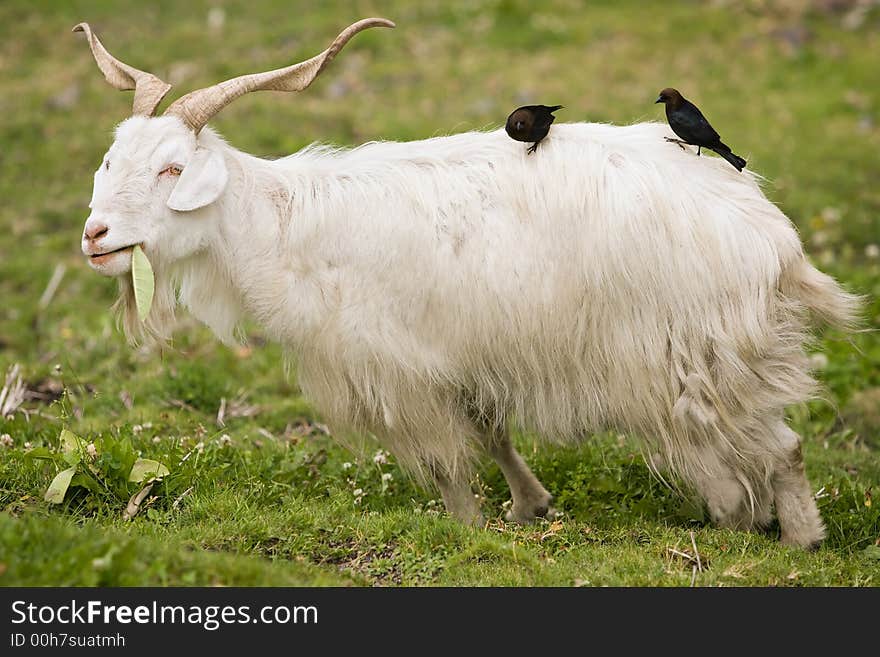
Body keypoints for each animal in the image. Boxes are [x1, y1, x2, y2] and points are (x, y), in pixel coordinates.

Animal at [75, 18, 860, 544]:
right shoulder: (456, 355)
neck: (283, 225)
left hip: (696, 352)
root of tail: (773, 235)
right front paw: (529, 505)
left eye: (173, 167)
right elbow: (490, 432)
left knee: (780, 445)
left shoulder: (399, 368)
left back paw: (796, 537)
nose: (96, 237)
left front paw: (467, 527)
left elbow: (448, 460)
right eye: (112, 158)